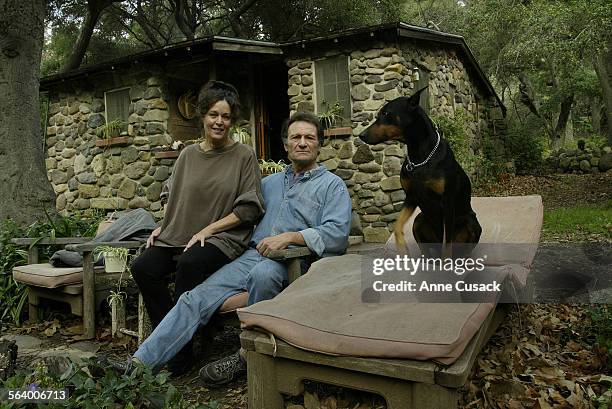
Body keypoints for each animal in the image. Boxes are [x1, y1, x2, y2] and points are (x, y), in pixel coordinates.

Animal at [358, 87, 482, 256]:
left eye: (386, 114)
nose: (361, 135)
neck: (419, 156)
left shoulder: (447, 202)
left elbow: (447, 243)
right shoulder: (411, 196)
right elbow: (397, 225)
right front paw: (402, 248)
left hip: (471, 221)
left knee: (459, 248)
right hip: (419, 220)